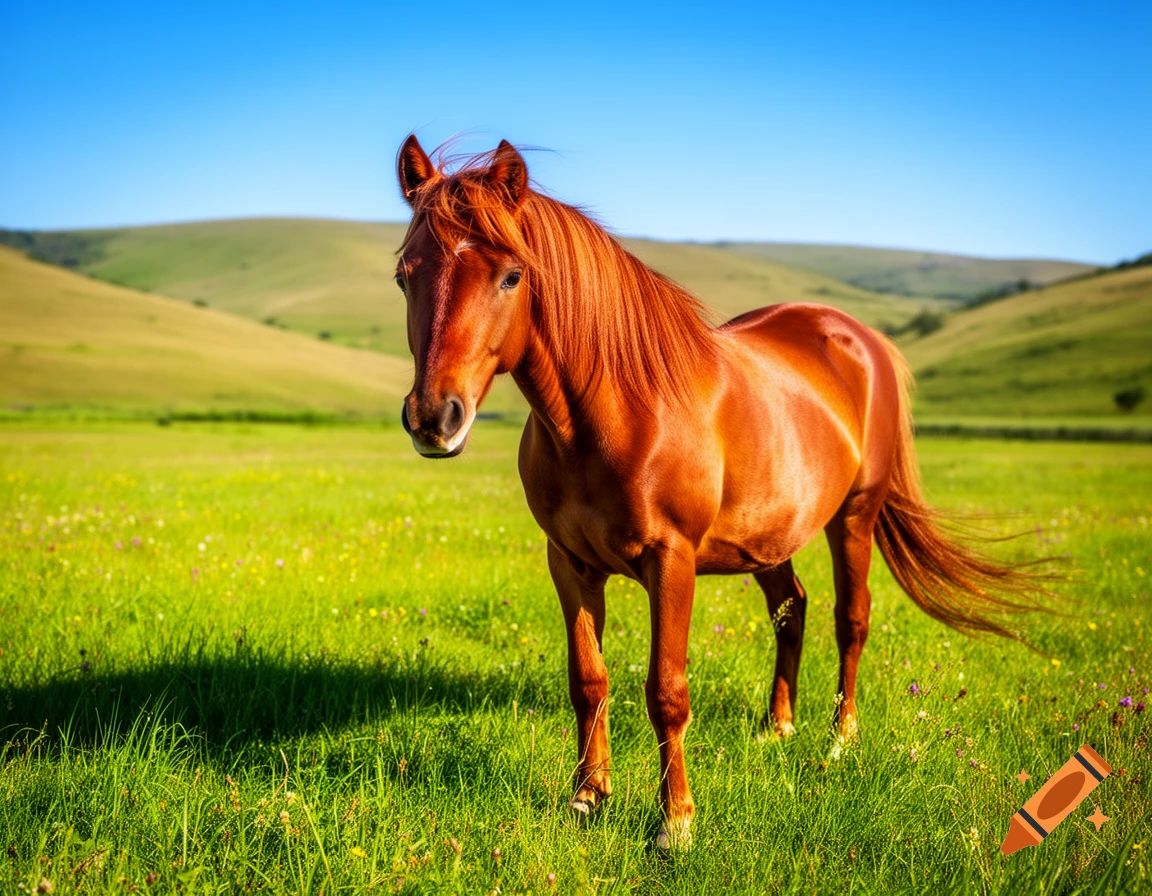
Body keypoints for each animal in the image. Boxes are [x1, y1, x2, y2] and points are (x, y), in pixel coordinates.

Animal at [393, 135, 1044, 849]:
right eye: (404, 275)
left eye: (511, 275)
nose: (434, 418)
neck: (615, 410)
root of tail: (859, 339)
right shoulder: (569, 562)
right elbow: (588, 679)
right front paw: (587, 796)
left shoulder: (671, 560)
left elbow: (666, 691)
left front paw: (674, 821)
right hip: (768, 538)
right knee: (793, 608)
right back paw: (777, 727)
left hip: (855, 516)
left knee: (851, 618)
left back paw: (839, 739)